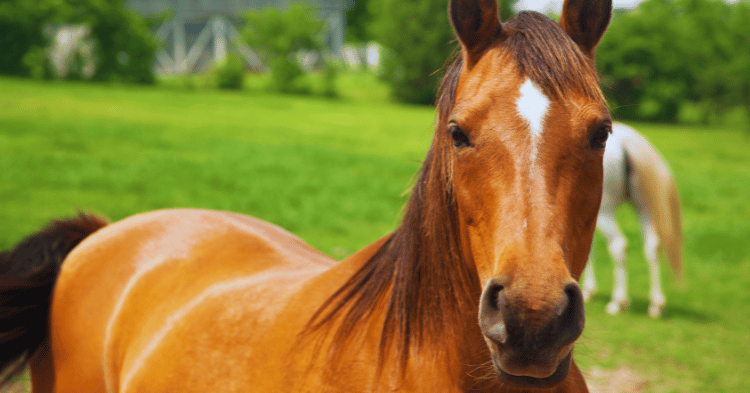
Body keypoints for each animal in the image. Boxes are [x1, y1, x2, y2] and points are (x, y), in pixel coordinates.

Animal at [584, 124, 684, 316]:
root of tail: (625, 140)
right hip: (643, 207)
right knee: (653, 246)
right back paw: (656, 305)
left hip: (604, 211)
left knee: (619, 246)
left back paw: (618, 302)